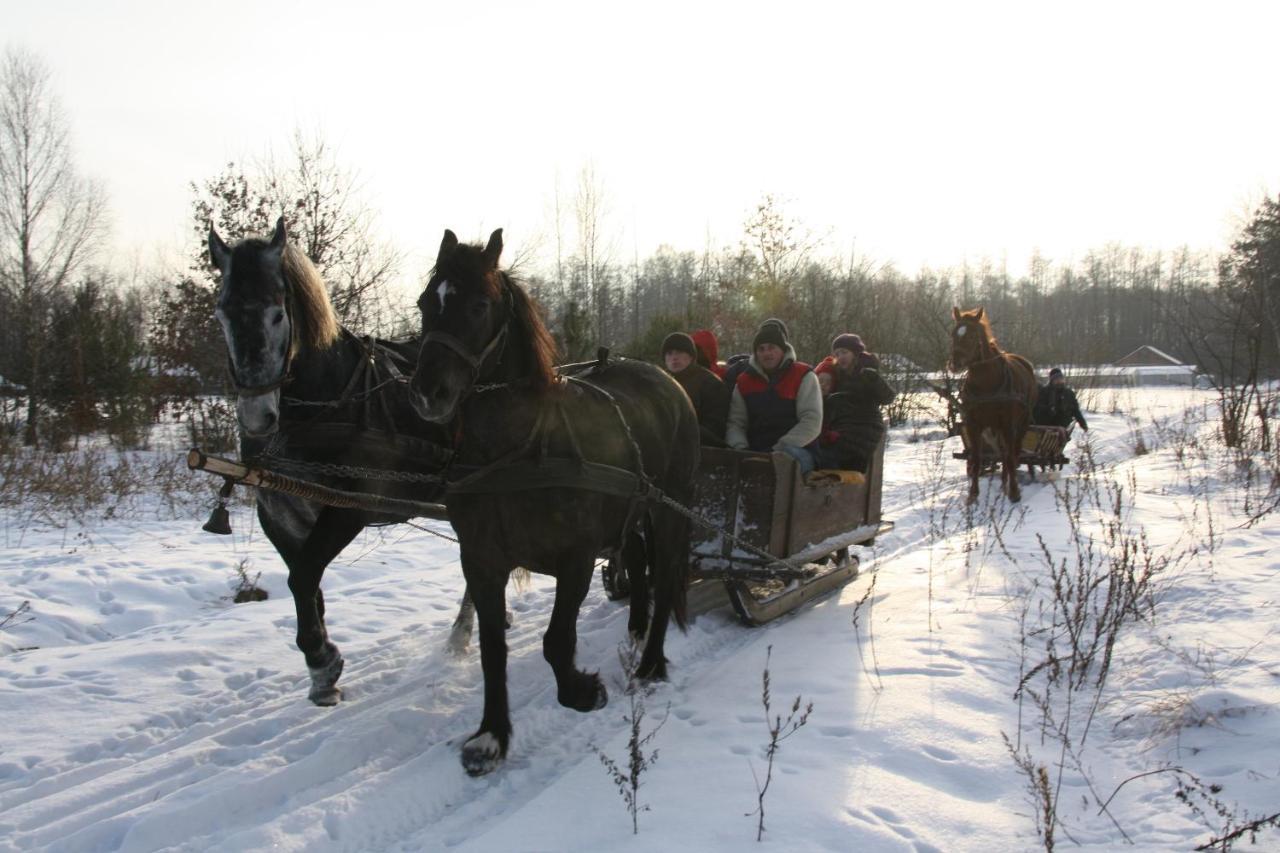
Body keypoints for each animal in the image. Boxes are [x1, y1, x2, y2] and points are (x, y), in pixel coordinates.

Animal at [207, 217, 453, 701]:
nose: (257, 418)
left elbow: (302, 577)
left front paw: (322, 660)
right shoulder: (279, 512)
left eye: (277, 313)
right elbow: (307, 584)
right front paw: (321, 664)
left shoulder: (348, 509)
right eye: (222, 314)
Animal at [409, 229, 701, 773]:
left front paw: (585, 692)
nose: (427, 394)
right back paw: (636, 628)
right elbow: (493, 648)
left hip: (670, 507)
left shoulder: (575, 559)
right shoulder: (480, 560)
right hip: (632, 511)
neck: (518, 451)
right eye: (424, 304)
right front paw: (492, 735)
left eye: (480, 305)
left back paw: (651, 663)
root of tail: (668, 380)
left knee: (667, 572)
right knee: (641, 565)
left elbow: (556, 642)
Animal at [952, 307, 1039, 502]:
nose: (954, 364)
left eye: (971, 335)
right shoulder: (973, 424)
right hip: (996, 428)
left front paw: (1014, 493)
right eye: (953, 333)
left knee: (1013, 452)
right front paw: (973, 495)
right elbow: (977, 459)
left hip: (1021, 423)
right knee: (1002, 452)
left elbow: (1010, 457)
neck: (987, 384)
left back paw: (1008, 485)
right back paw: (1003, 483)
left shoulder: (1008, 424)